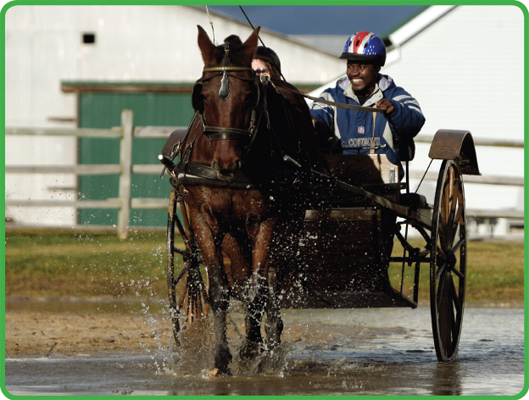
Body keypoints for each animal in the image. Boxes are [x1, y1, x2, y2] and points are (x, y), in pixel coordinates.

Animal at [173, 25, 322, 376]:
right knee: (243, 278)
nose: (226, 162)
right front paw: (222, 359)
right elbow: (220, 290)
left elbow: (259, 291)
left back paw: (270, 343)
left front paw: (259, 351)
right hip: (233, 233)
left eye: (249, 97)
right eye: (202, 96)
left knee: (271, 280)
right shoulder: (204, 218)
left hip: (288, 224)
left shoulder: (264, 221)